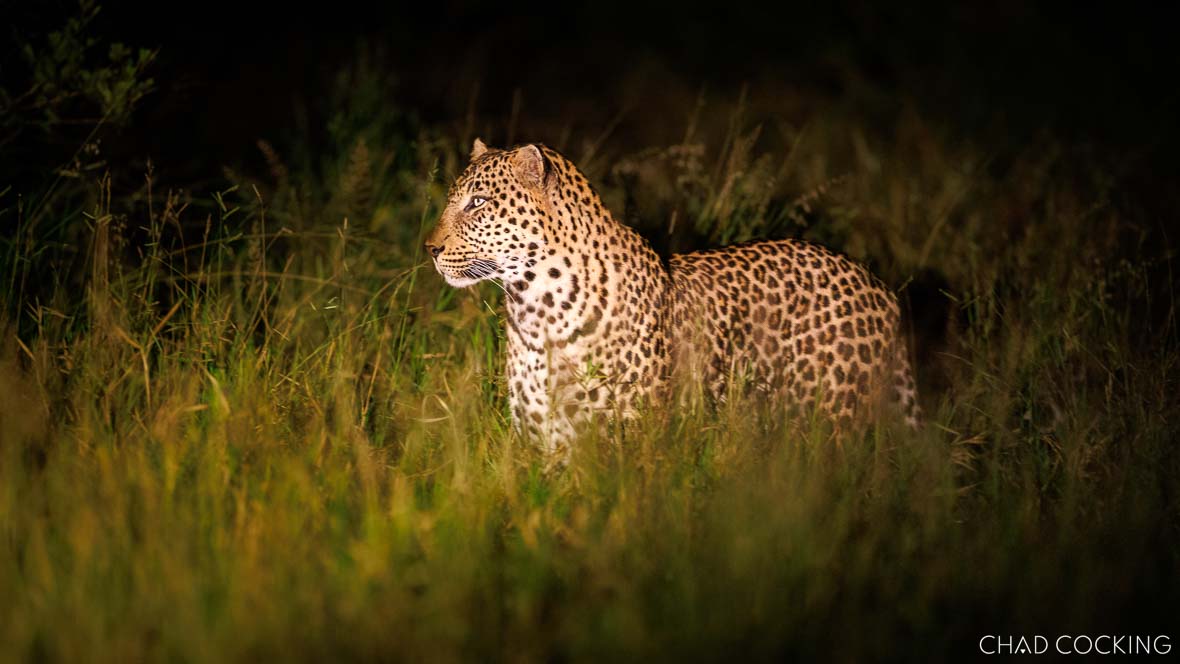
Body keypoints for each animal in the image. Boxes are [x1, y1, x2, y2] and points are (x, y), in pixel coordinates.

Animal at [424, 139, 920, 453]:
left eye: (478, 203)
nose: (430, 248)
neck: (533, 305)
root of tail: (880, 287)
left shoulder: (629, 434)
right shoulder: (543, 438)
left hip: (827, 422)